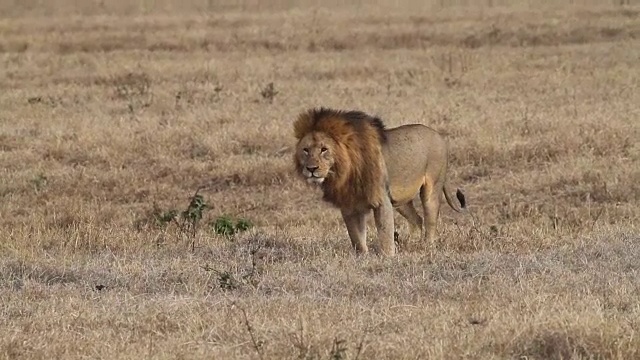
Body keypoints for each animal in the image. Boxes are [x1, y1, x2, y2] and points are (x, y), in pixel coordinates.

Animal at [294, 107, 464, 256]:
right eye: (306, 150)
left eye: (324, 149)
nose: (311, 168)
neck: (344, 171)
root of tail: (438, 134)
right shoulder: (349, 205)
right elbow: (356, 237)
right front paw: (362, 257)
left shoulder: (381, 199)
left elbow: (385, 233)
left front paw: (388, 258)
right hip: (400, 200)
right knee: (417, 220)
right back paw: (410, 244)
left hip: (431, 188)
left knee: (430, 221)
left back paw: (426, 247)